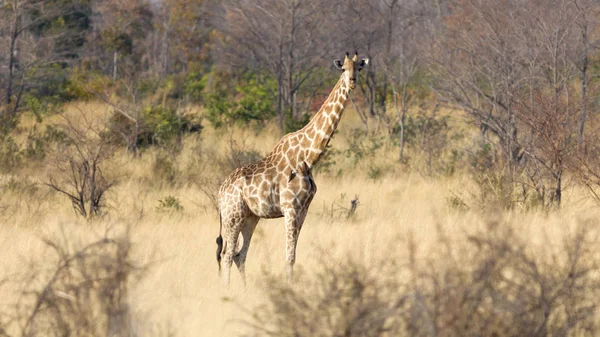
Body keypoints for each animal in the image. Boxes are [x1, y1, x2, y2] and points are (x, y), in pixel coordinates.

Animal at [214, 51, 366, 284]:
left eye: (359, 68)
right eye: (343, 68)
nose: (352, 82)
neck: (308, 157)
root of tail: (220, 193)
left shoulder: (303, 210)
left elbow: (293, 256)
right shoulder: (290, 208)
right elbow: (289, 256)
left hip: (251, 217)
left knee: (240, 255)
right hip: (233, 215)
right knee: (227, 254)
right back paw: (227, 290)